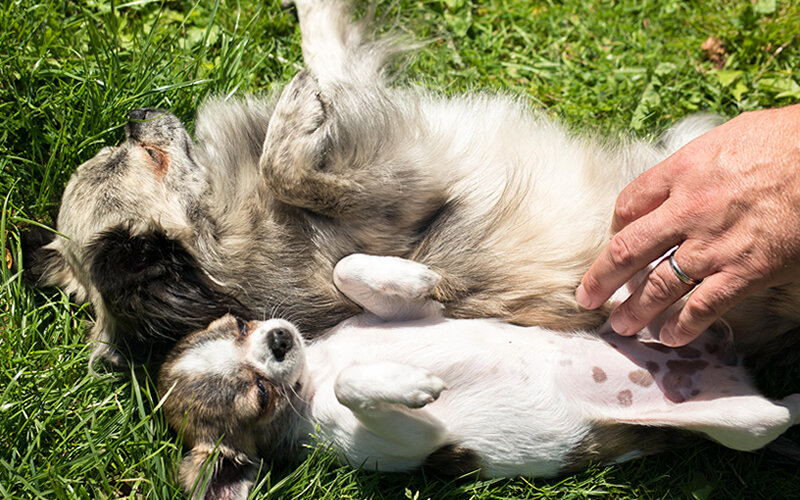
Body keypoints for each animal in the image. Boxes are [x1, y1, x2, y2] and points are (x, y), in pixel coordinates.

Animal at [20, 0, 800, 366]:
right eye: (144, 155)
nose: (135, 114)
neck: (221, 234)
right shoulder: (408, 185)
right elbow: (289, 164)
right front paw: (293, 120)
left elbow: (320, 50)